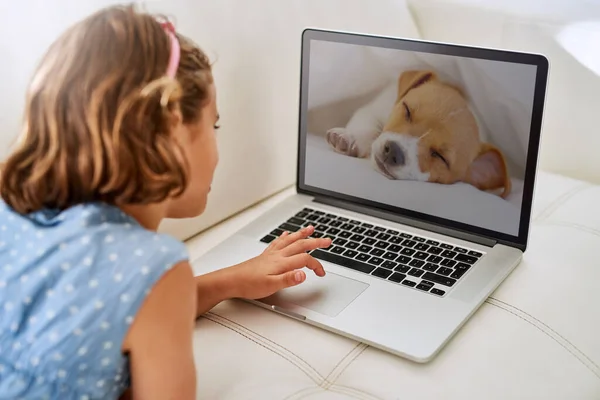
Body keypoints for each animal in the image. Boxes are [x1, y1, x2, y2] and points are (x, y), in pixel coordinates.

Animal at [326, 70, 512, 200]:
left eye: (440, 156)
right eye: (407, 110)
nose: (393, 151)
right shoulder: (374, 109)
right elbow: (368, 126)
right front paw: (350, 138)